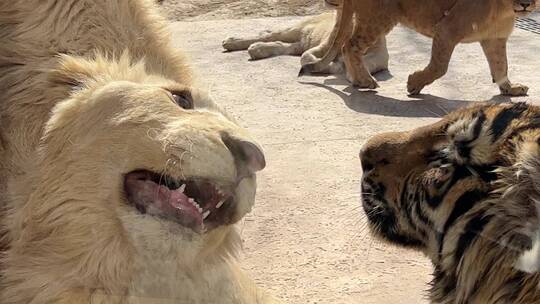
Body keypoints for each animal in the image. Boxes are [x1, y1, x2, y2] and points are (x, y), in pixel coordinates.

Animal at [221, 0, 390, 76]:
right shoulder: (324, 45)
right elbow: (307, 57)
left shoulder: (378, 58)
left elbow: (349, 66)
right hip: (297, 28)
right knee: (273, 36)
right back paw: (231, 42)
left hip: (300, 40)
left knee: (283, 46)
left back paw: (257, 49)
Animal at [302, 0, 532, 96]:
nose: (526, 4)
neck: (505, 8)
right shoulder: (447, 29)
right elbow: (439, 67)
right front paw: (414, 84)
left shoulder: (495, 39)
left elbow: (501, 66)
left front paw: (510, 89)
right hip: (378, 17)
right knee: (349, 46)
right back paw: (366, 81)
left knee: (346, 46)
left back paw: (359, 81)